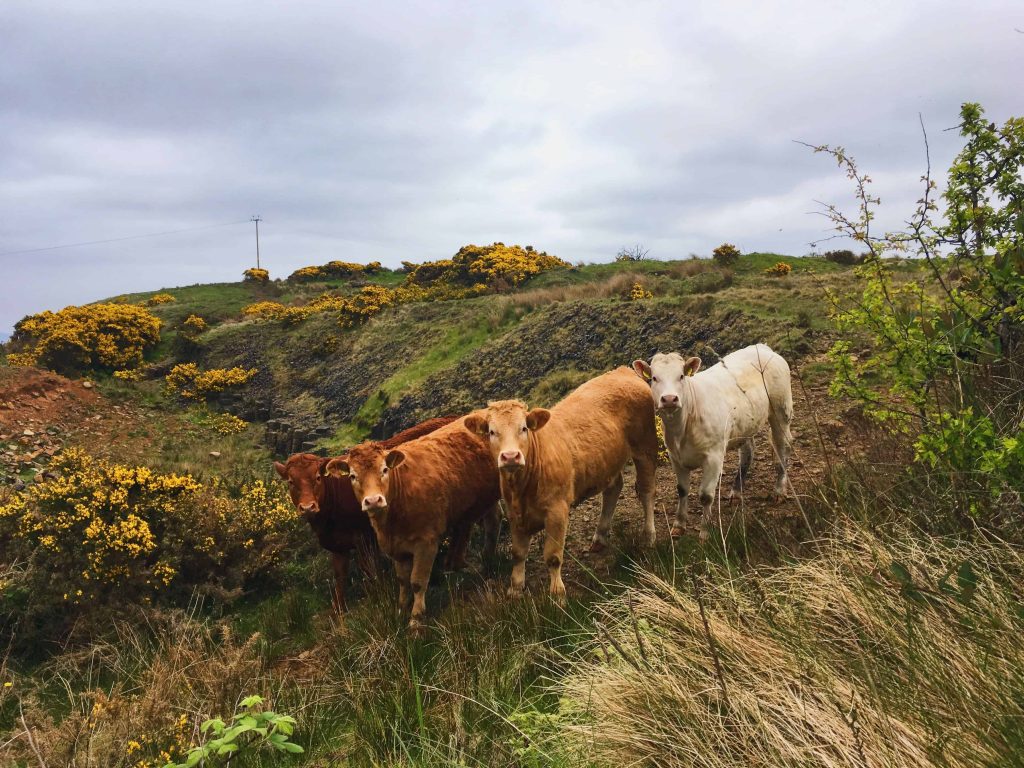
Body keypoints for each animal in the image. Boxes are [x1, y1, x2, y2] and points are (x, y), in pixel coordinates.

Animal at [327, 417, 499, 634]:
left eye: (384, 470)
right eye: (352, 476)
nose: (373, 501)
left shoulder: (427, 543)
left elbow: (417, 581)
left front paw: (416, 621)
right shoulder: (397, 549)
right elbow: (402, 581)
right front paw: (401, 610)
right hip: (487, 498)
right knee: (493, 523)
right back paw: (487, 562)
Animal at [464, 366, 655, 602]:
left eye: (524, 428)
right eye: (492, 432)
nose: (510, 456)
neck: (522, 488)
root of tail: (622, 371)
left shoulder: (557, 510)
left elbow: (553, 556)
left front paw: (557, 594)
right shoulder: (514, 513)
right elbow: (518, 554)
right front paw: (515, 588)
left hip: (645, 446)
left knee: (646, 490)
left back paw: (649, 536)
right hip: (608, 461)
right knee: (613, 488)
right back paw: (600, 536)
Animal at [630, 342, 790, 540]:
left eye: (681, 376)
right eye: (654, 378)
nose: (669, 399)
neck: (682, 428)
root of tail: (762, 347)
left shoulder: (714, 456)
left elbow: (706, 495)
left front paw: (705, 531)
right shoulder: (675, 457)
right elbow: (682, 490)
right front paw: (679, 525)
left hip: (781, 410)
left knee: (782, 447)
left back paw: (779, 490)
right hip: (745, 424)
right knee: (747, 452)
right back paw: (736, 492)